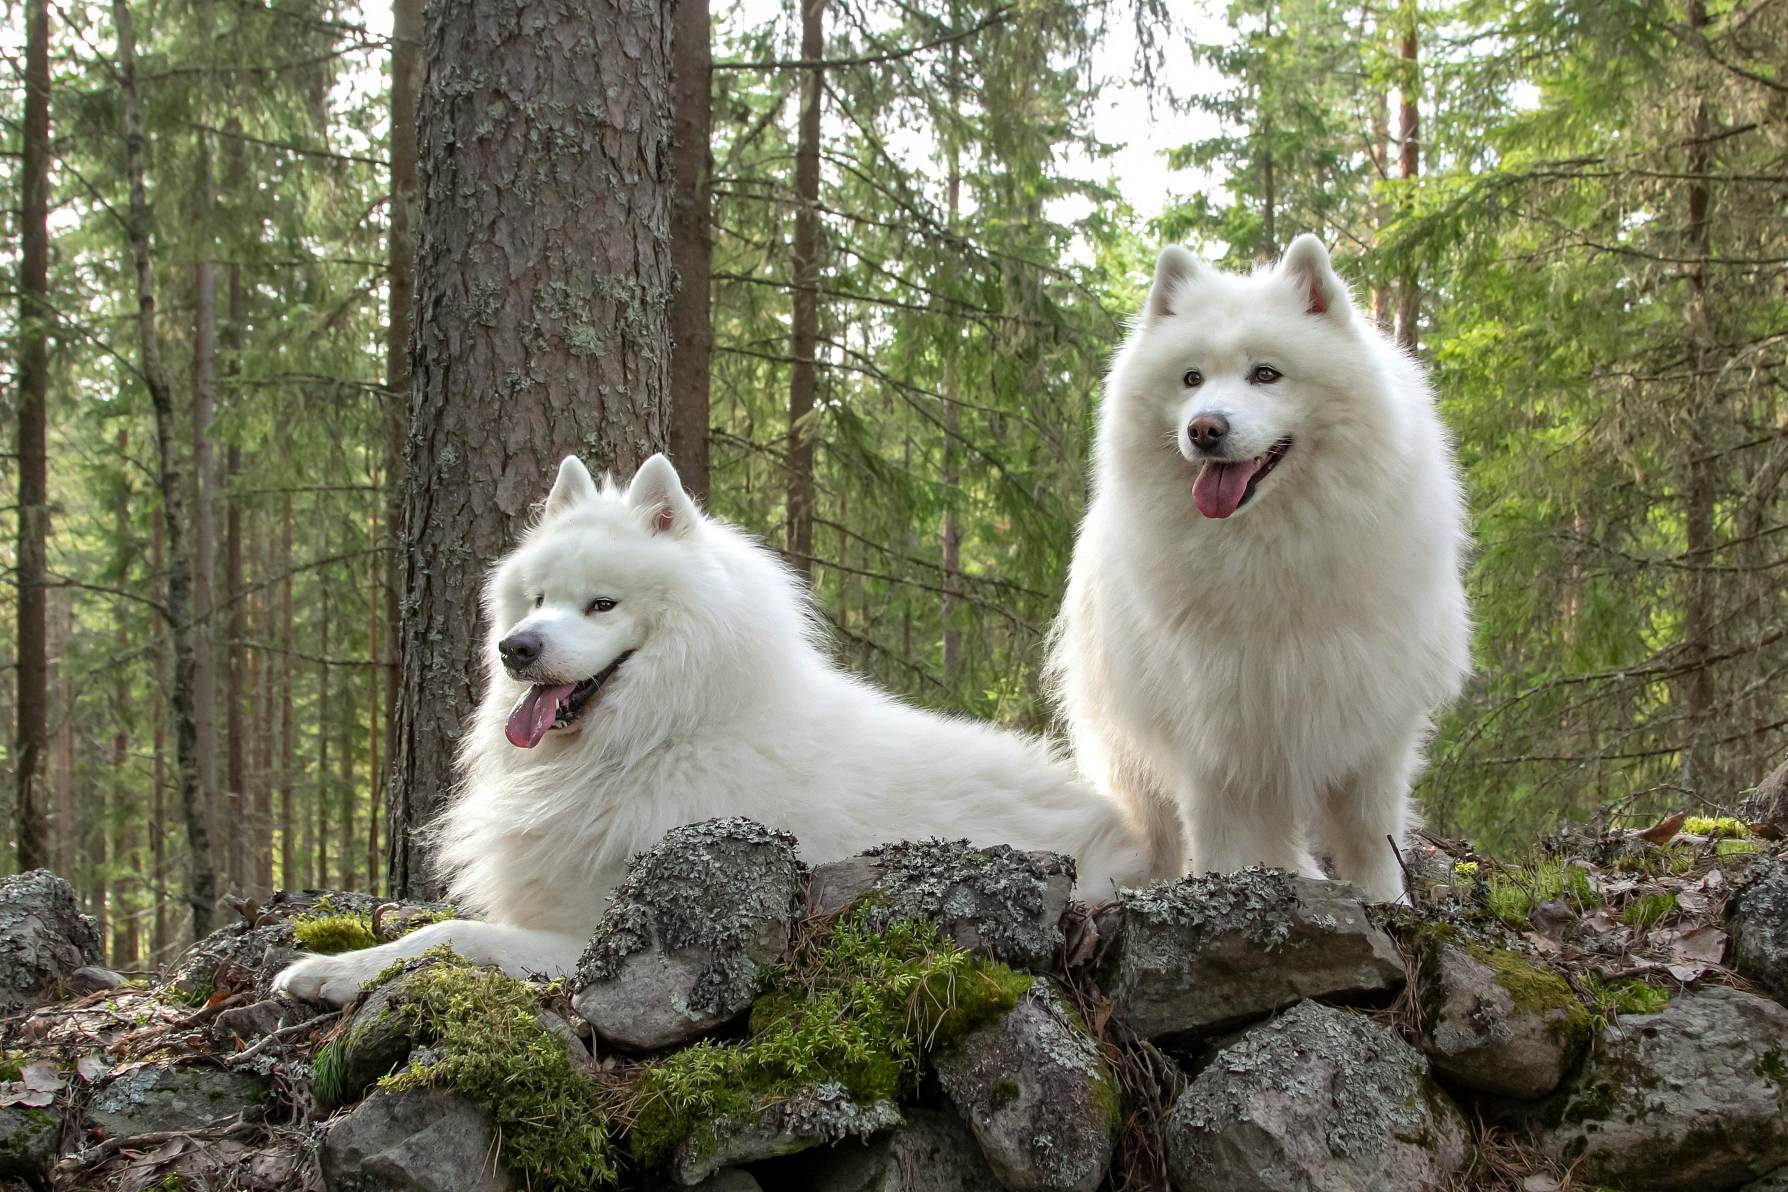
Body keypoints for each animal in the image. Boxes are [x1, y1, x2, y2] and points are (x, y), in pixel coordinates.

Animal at [271, 457, 1151, 1007]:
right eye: (538, 600)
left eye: (602, 605)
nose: (515, 650)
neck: (665, 735)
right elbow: (431, 930)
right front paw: (329, 966)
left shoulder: (584, 938)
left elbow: (453, 935)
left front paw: (337, 971)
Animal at [1044, 235, 1466, 904]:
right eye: (1191, 378)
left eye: (1265, 373)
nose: (1204, 428)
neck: (1266, 549)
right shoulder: (1217, 735)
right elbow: (1228, 840)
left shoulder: (1371, 722)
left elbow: (1370, 837)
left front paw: (1387, 903)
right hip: (1129, 747)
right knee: (1157, 832)